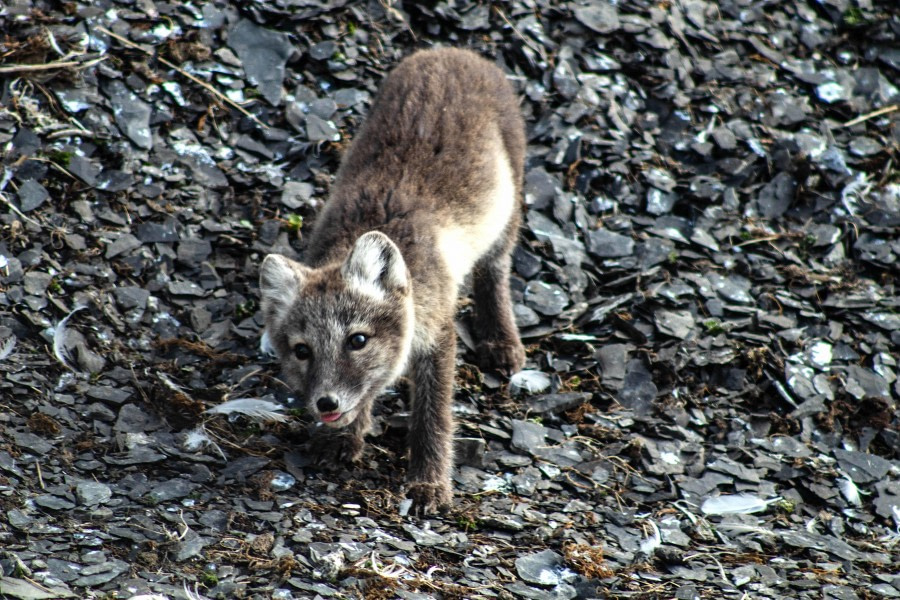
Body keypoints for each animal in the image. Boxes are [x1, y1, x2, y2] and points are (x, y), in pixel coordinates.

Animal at [260, 47, 524, 510]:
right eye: (301, 351)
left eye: (358, 340)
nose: (325, 403)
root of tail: (450, 52)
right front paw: (343, 439)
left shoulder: (438, 334)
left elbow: (433, 416)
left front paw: (429, 484)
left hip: (508, 207)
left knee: (495, 269)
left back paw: (501, 340)